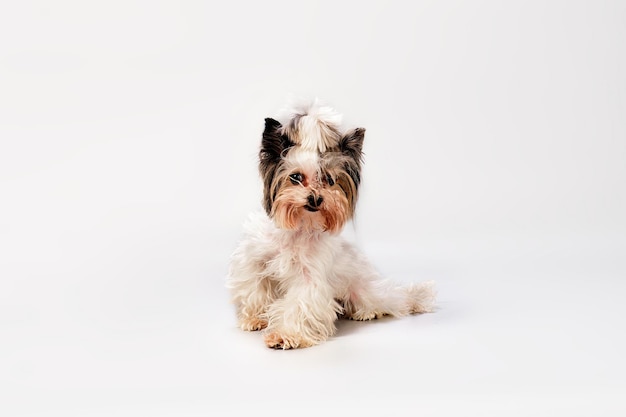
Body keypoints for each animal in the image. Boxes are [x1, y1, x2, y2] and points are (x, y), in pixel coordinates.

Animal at [225, 98, 434, 348]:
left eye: (329, 180)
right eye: (295, 177)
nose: (315, 198)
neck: (298, 227)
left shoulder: (309, 279)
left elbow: (300, 304)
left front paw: (285, 335)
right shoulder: (253, 262)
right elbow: (255, 288)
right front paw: (255, 318)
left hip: (364, 290)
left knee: (390, 301)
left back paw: (368, 312)